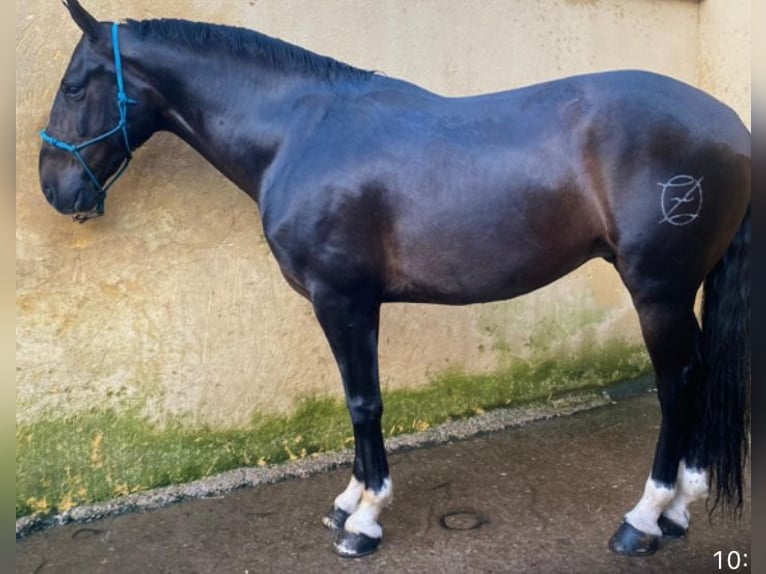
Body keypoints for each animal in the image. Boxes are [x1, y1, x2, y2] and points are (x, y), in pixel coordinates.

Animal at [37, 0, 752, 560]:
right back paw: (680, 507)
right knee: (700, 374)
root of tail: (733, 129)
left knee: (677, 382)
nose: (54, 188)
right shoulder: (356, 303)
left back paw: (645, 519)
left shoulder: (342, 298)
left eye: (73, 86)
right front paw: (348, 498)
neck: (300, 133)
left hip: (657, 290)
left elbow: (363, 401)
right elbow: (357, 398)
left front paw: (365, 520)